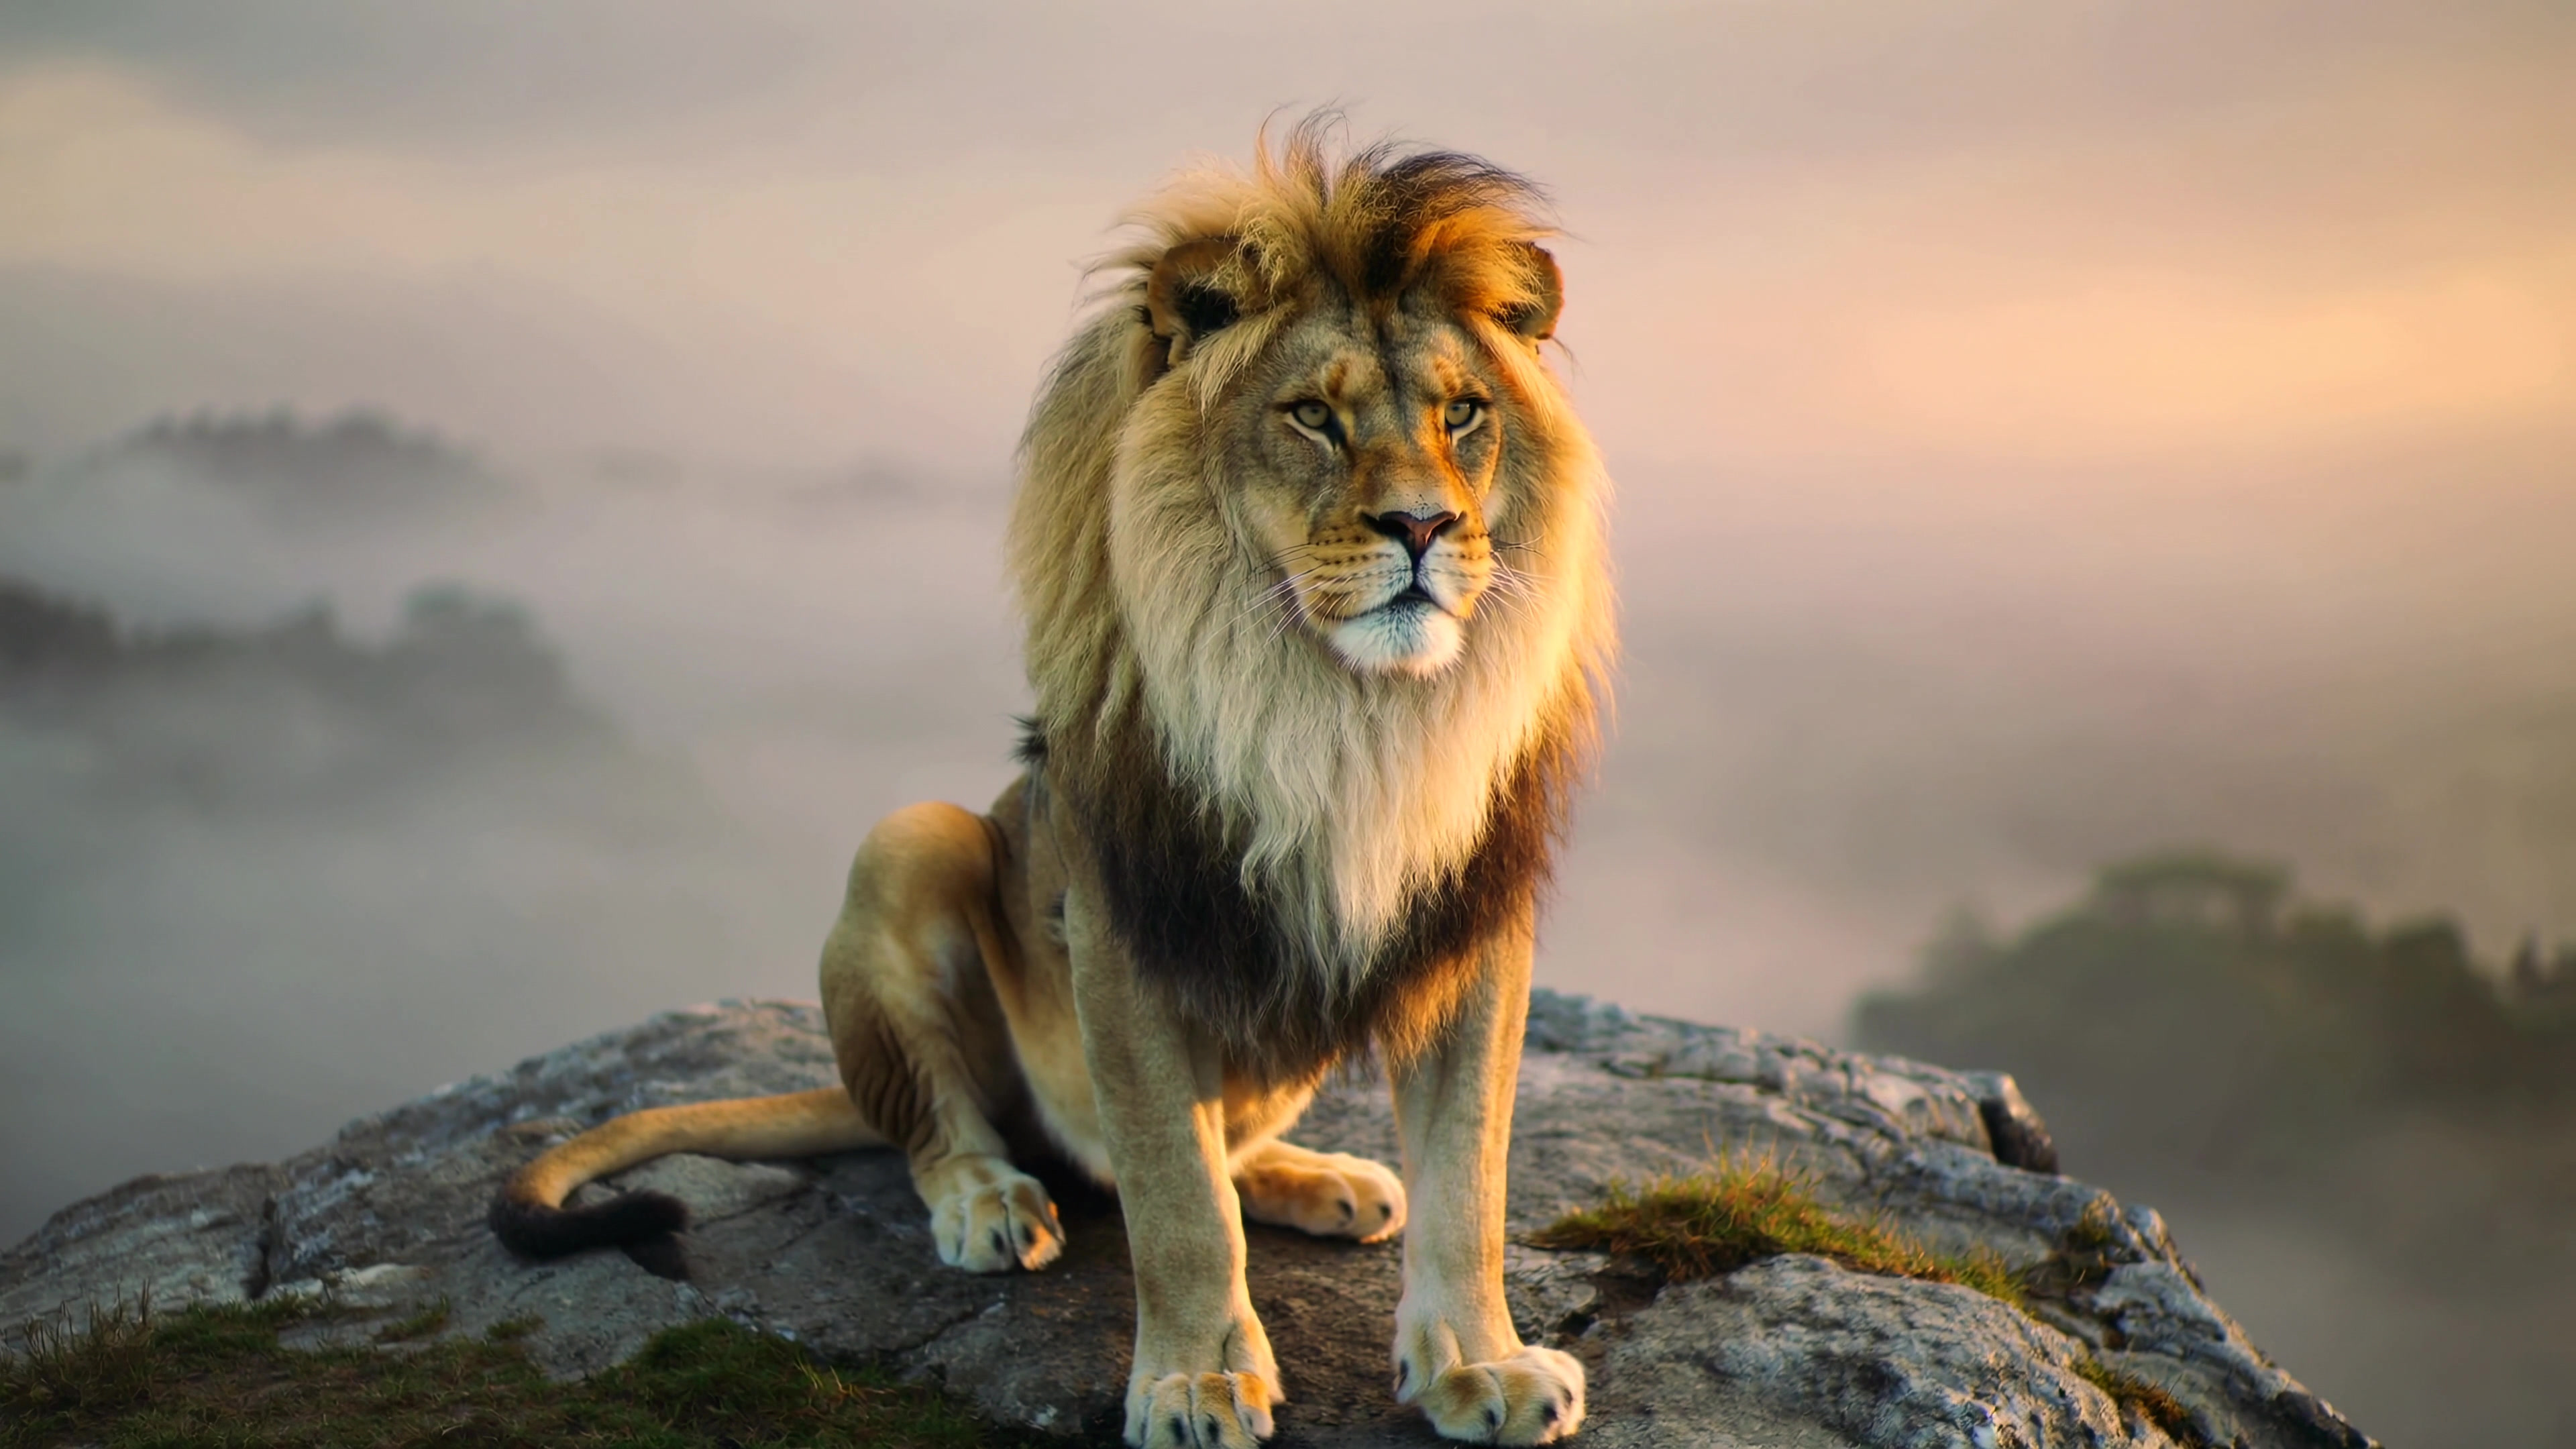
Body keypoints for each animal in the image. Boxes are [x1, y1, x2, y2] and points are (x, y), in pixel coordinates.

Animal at [490, 121, 1615, 1449]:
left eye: (1464, 414)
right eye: (1312, 419)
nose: (1426, 529)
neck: (1339, 707)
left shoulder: (1474, 928)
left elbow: (1470, 1177)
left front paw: (1481, 1366)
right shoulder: (1123, 929)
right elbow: (1176, 1198)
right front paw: (1194, 1382)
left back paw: (1324, 1180)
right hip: (910, 841)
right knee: (957, 1125)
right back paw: (990, 1200)